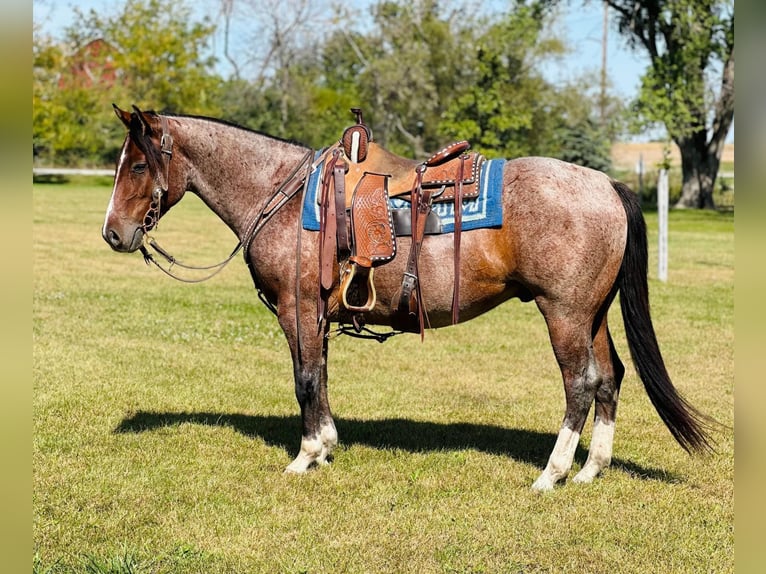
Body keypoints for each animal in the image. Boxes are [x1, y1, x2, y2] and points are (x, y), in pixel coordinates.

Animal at [99, 104, 716, 490]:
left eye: (137, 164)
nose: (113, 234)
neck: (283, 195)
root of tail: (607, 184)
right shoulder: (317, 316)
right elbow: (321, 377)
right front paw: (328, 446)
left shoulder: (298, 309)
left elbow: (304, 380)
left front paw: (305, 456)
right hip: (592, 314)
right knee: (609, 377)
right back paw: (591, 470)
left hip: (563, 313)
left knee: (580, 384)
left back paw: (553, 474)